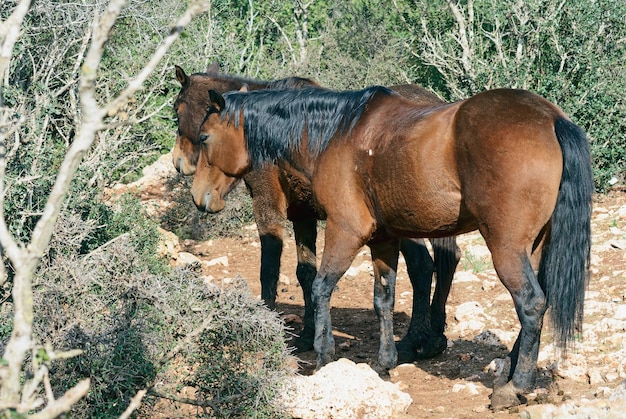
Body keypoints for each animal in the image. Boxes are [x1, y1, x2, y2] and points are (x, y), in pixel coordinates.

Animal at [171, 65, 458, 360]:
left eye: (177, 109)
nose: (178, 163)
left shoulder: (267, 208)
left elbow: (269, 270)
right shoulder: (303, 216)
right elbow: (306, 273)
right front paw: (309, 335)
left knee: (423, 266)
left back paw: (415, 341)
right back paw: (434, 337)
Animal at [194, 86, 588, 410]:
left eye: (203, 137)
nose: (199, 197)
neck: (337, 133)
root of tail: (551, 119)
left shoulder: (344, 230)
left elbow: (321, 287)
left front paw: (324, 354)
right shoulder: (383, 239)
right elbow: (383, 298)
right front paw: (384, 362)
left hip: (505, 249)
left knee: (531, 303)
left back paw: (515, 387)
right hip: (532, 248)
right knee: (537, 304)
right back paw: (509, 374)